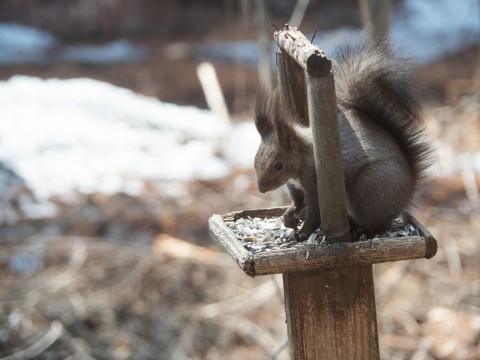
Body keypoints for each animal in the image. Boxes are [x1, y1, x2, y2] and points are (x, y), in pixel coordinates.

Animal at [255, 36, 432, 240]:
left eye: (278, 166)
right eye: (254, 161)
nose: (261, 189)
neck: (302, 158)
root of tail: (407, 193)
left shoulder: (315, 182)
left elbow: (314, 213)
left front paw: (303, 233)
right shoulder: (296, 188)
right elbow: (298, 202)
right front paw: (289, 216)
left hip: (368, 189)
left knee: (377, 225)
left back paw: (360, 232)